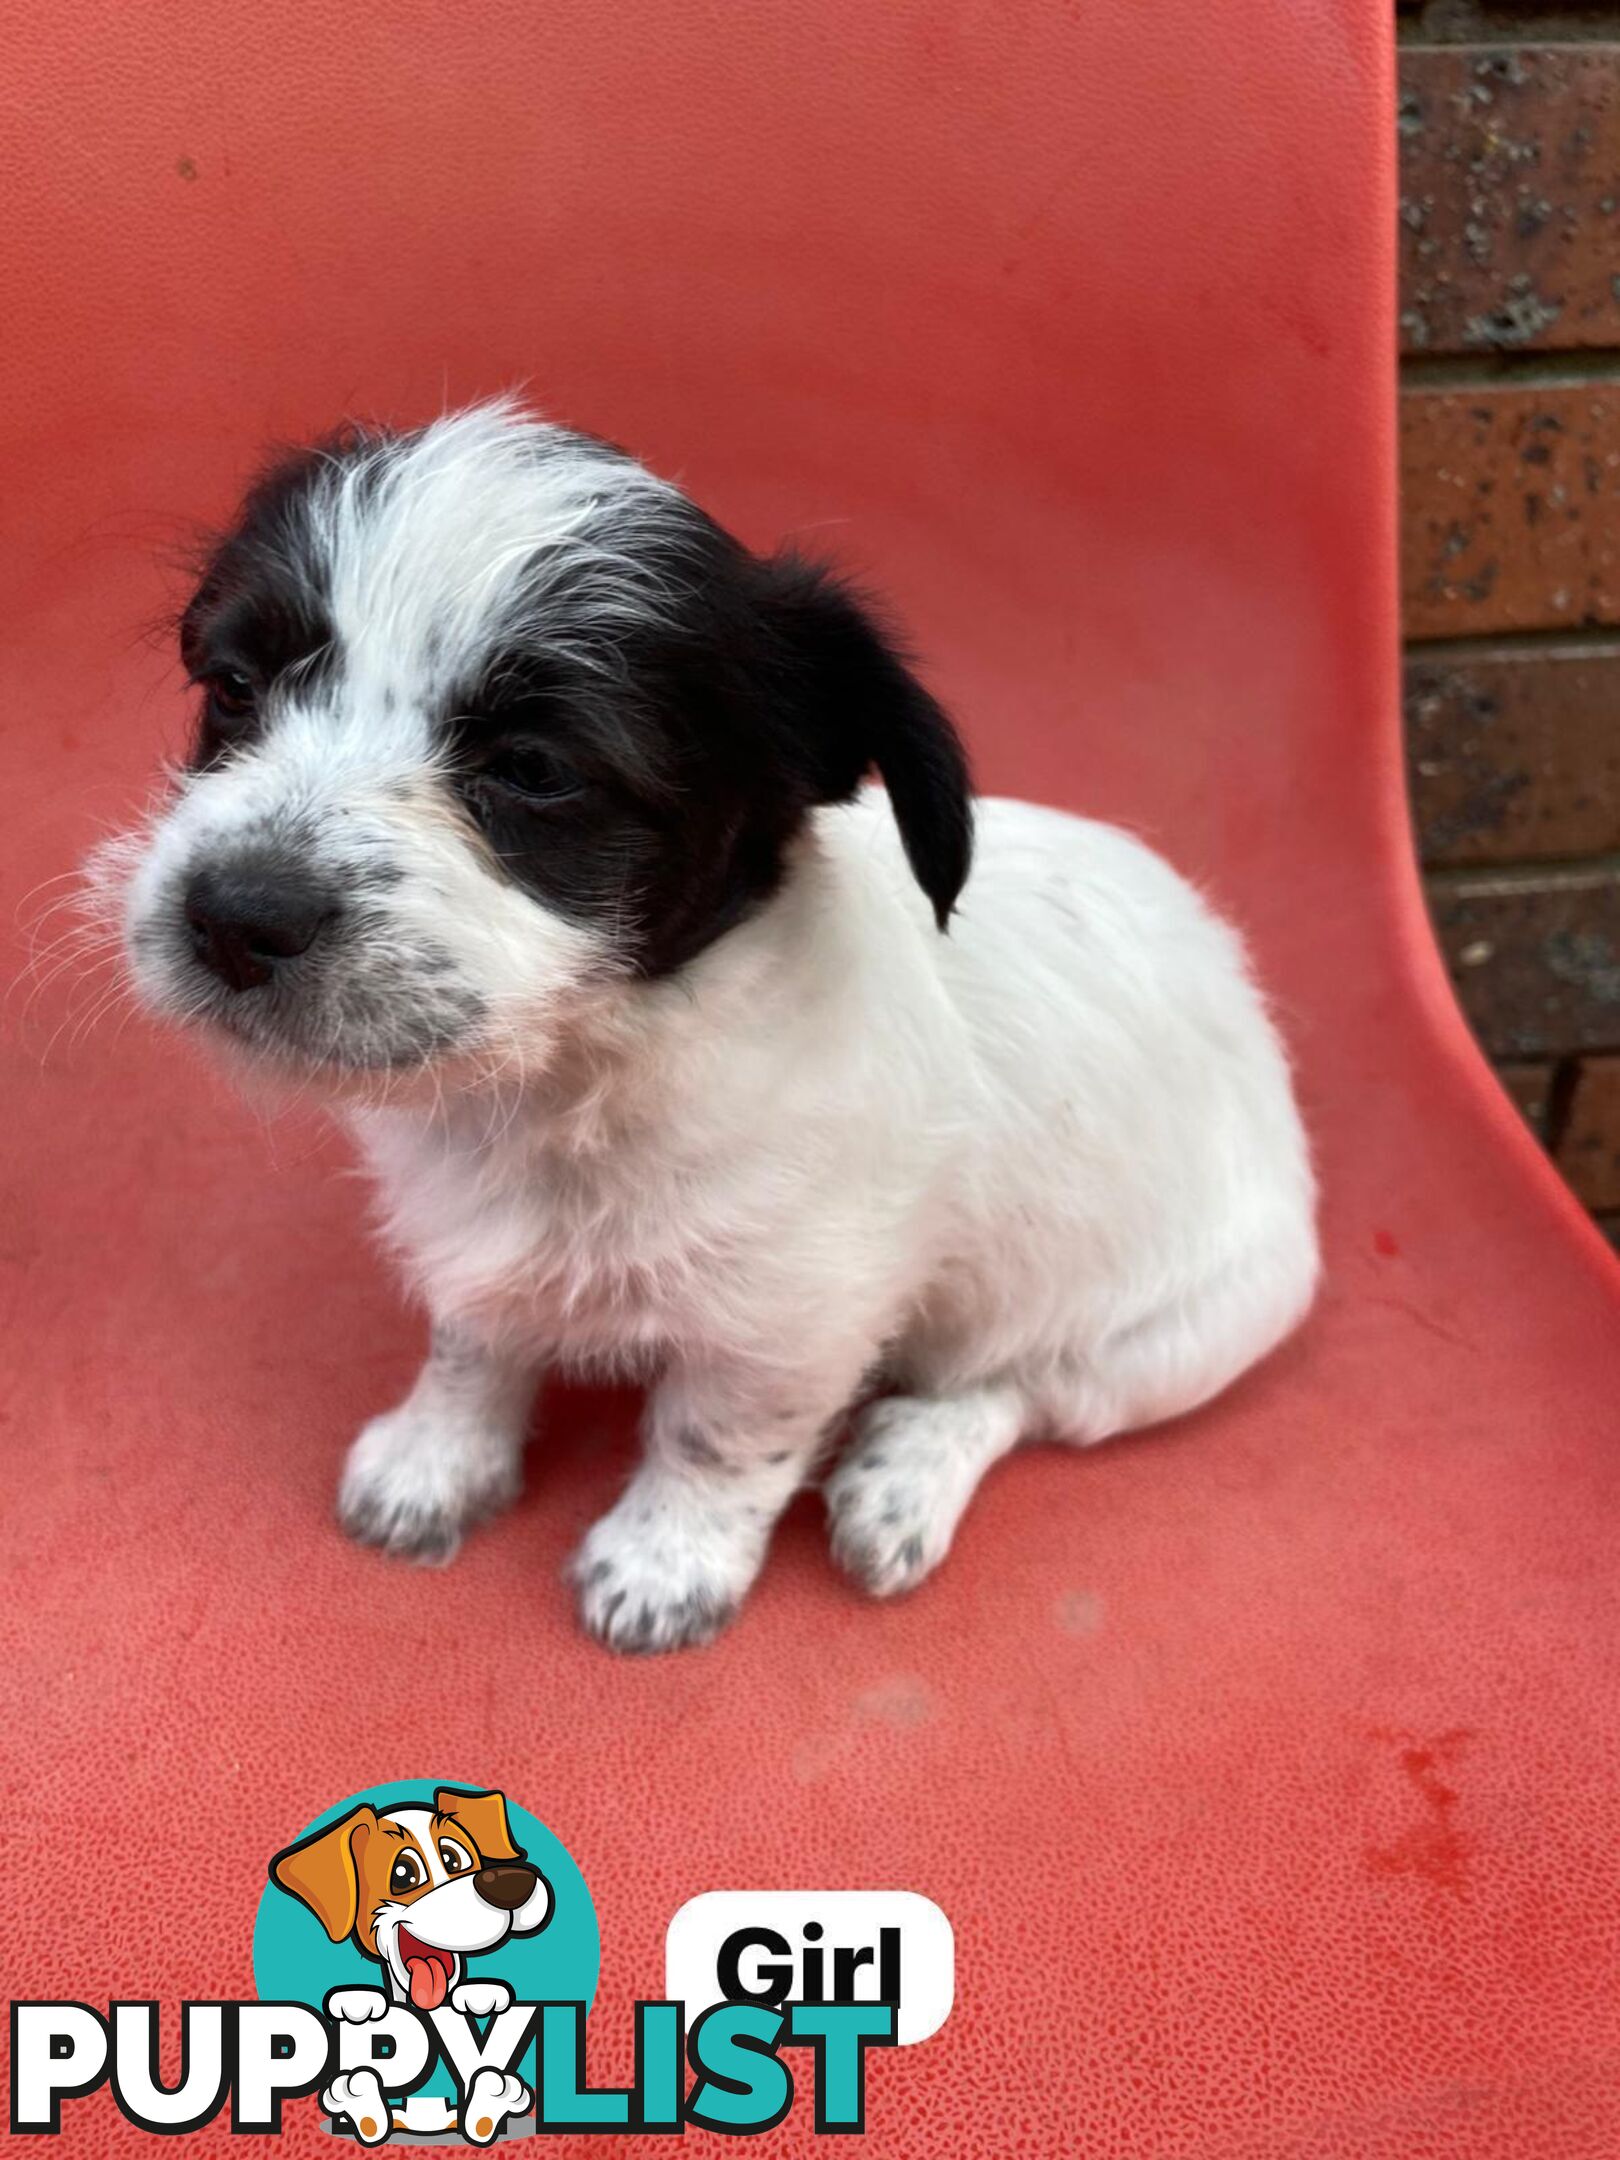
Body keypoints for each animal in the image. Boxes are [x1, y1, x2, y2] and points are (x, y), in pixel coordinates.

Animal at [91, 401, 1321, 1650]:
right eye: (235, 687)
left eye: (535, 769)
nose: (235, 915)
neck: (576, 1077)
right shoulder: (478, 1248)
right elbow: (472, 1342)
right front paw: (436, 1460)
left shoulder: (793, 1314)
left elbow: (716, 1435)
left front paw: (665, 1562)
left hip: (1171, 1338)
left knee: (1014, 1383)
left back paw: (903, 1477)